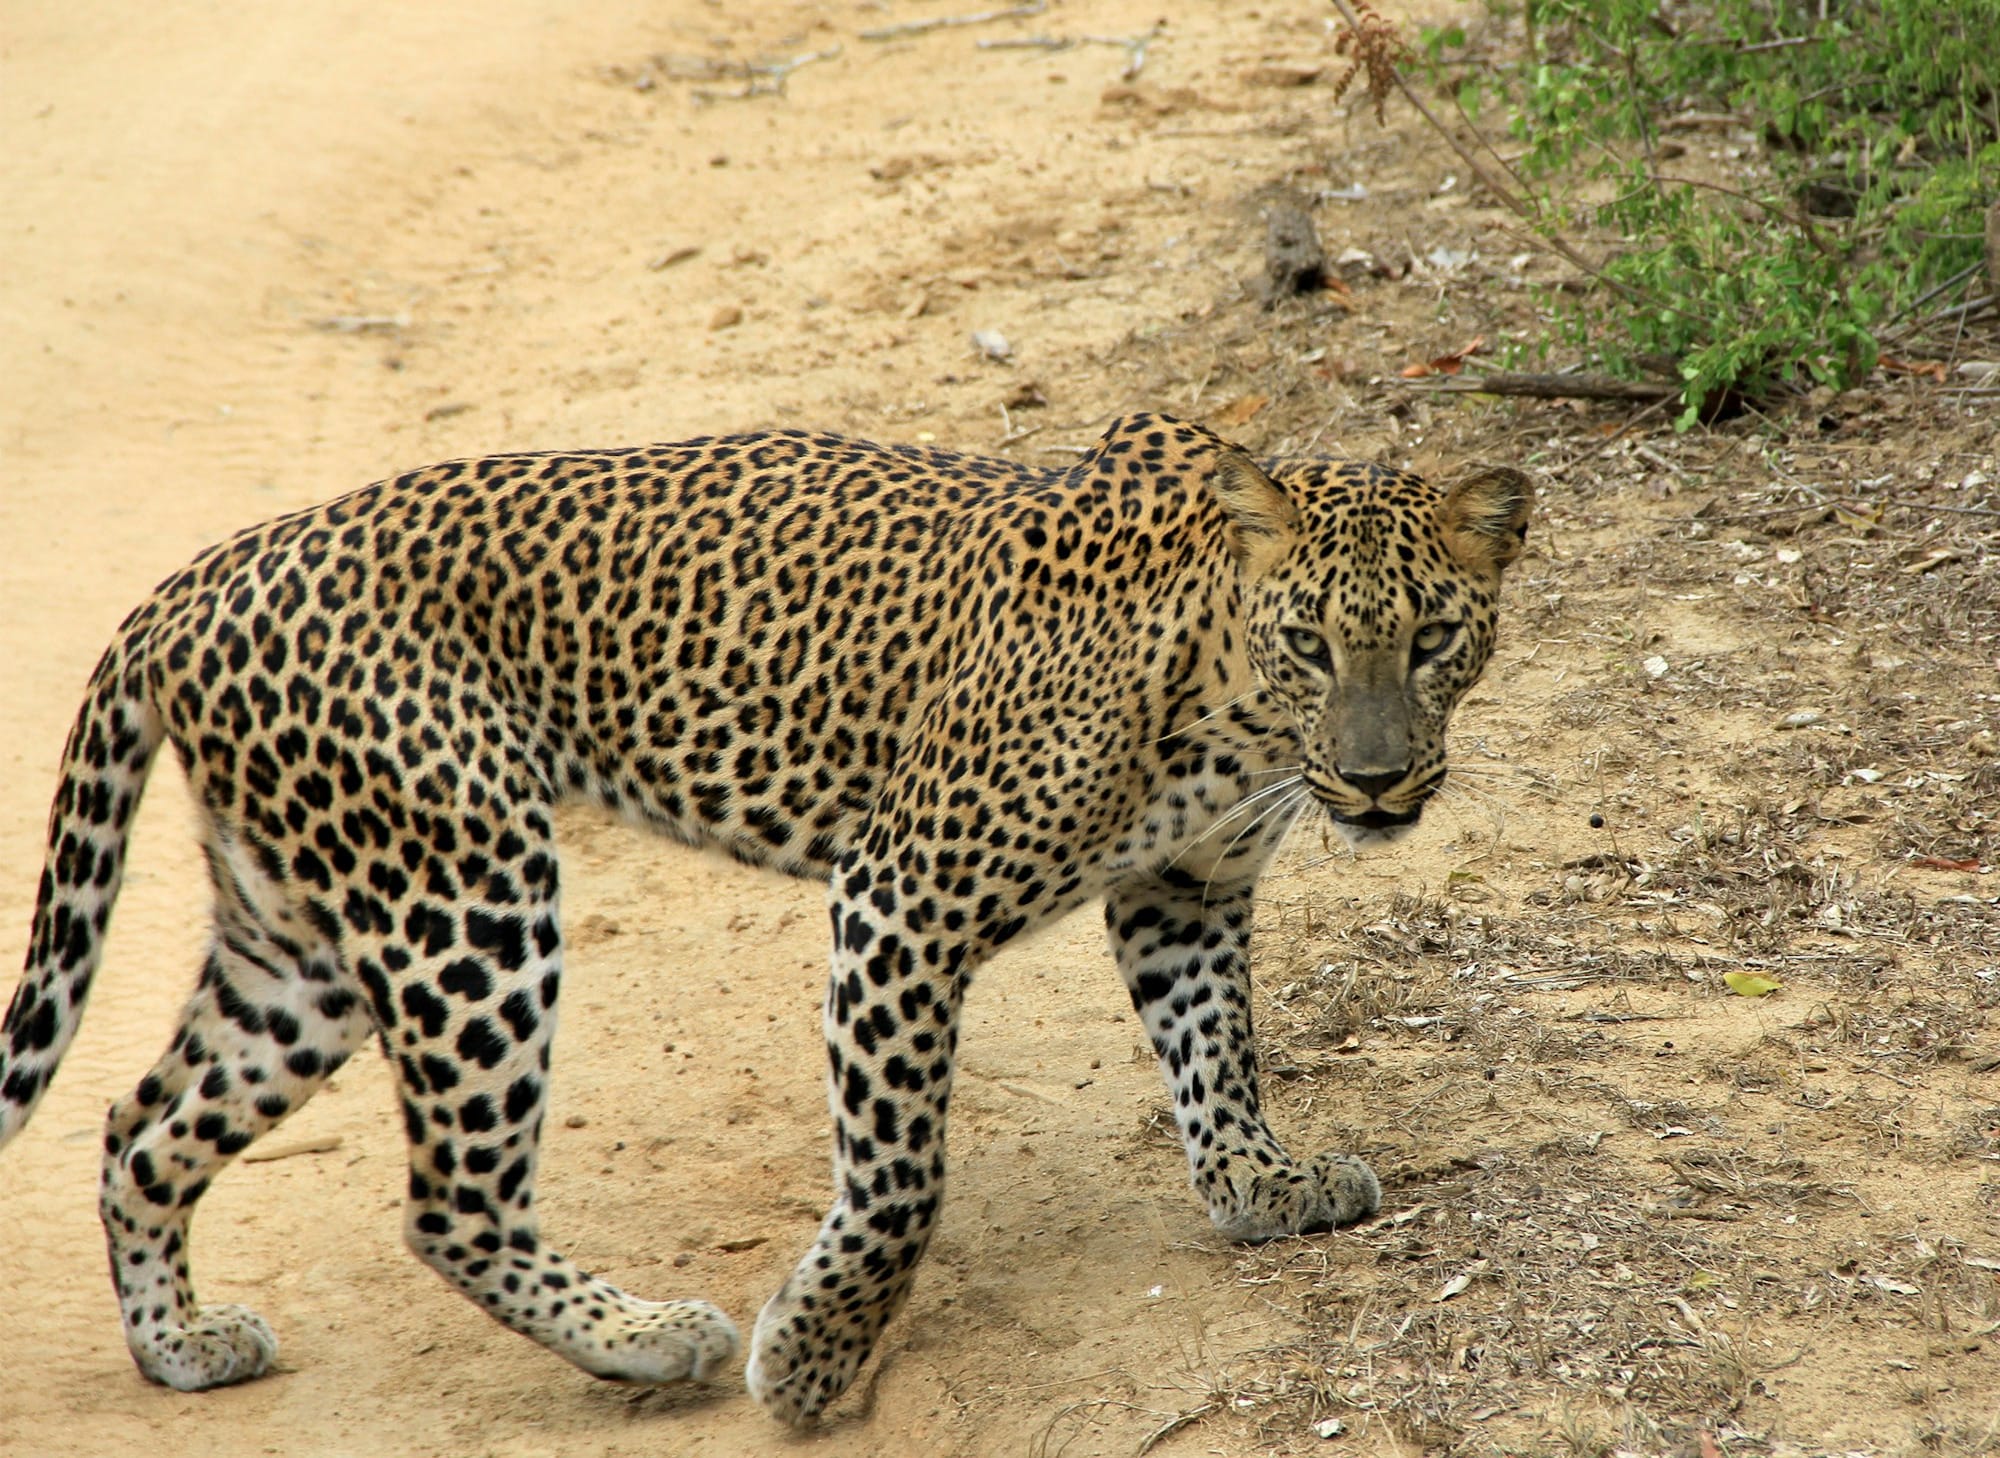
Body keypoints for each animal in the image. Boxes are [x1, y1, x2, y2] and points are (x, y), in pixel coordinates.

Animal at [3, 410, 1528, 1424]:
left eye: (1433, 641)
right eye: (1313, 642)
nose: (1379, 778)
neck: (1227, 704)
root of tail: (191, 583)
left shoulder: (1186, 889)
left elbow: (1219, 1051)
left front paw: (1262, 1181)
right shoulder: (902, 900)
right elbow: (903, 1176)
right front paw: (808, 1360)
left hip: (305, 942)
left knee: (140, 1125)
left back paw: (181, 1347)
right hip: (464, 893)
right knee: (447, 1199)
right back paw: (646, 1335)